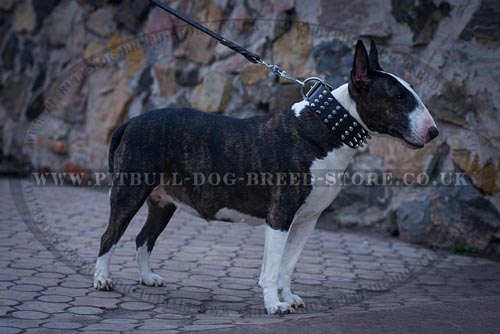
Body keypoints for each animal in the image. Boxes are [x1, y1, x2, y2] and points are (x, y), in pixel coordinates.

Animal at [94, 40, 438, 314]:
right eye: (399, 97)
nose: (434, 132)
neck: (328, 126)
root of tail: (131, 122)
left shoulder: (307, 219)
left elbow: (287, 264)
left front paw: (289, 297)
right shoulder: (280, 215)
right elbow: (272, 268)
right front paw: (274, 305)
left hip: (163, 202)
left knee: (143, 237)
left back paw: (147, 278)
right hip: (129, 192)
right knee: (109, 235)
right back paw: (102, 279)